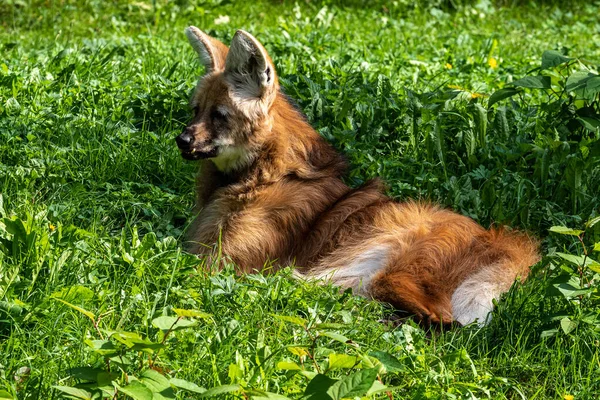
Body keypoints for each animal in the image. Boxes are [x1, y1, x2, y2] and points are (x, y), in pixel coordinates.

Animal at [175, 28, 540, 326]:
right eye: (195, 110)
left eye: (220, 115)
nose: (182, 140)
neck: (266, 175)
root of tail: (505, 242)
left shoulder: (220, 263)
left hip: (399, 257)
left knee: (443, 321)